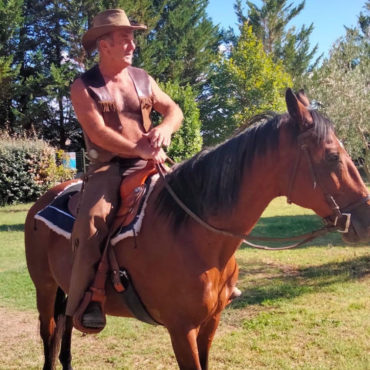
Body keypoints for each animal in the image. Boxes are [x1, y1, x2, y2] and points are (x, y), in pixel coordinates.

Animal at [24, 89, 368, 370]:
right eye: (333, 156)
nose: (364, 218)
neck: (196, 236)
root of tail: (44, 199)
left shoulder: (210, 323)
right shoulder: (181, 330)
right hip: (45, 288)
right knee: (50, 338)